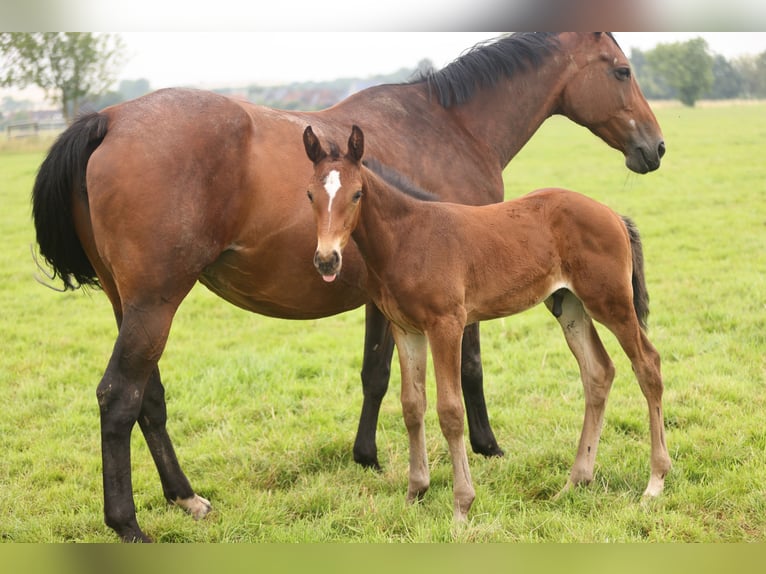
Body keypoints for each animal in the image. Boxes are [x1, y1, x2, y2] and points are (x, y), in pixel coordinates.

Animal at [303, 124, 671, 521]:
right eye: (310, 194)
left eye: (356, 194)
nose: (326, 259)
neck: (407, 238)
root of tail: (614, 215)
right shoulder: (406, 330)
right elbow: (412, 406)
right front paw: (415, 493)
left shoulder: (446, 325)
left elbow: (450, 411)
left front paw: (462, 505)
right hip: (569, 306)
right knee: (598, 372)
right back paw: (575, 482)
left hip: (611, 302)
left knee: (647, 364)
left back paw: (654, 482)